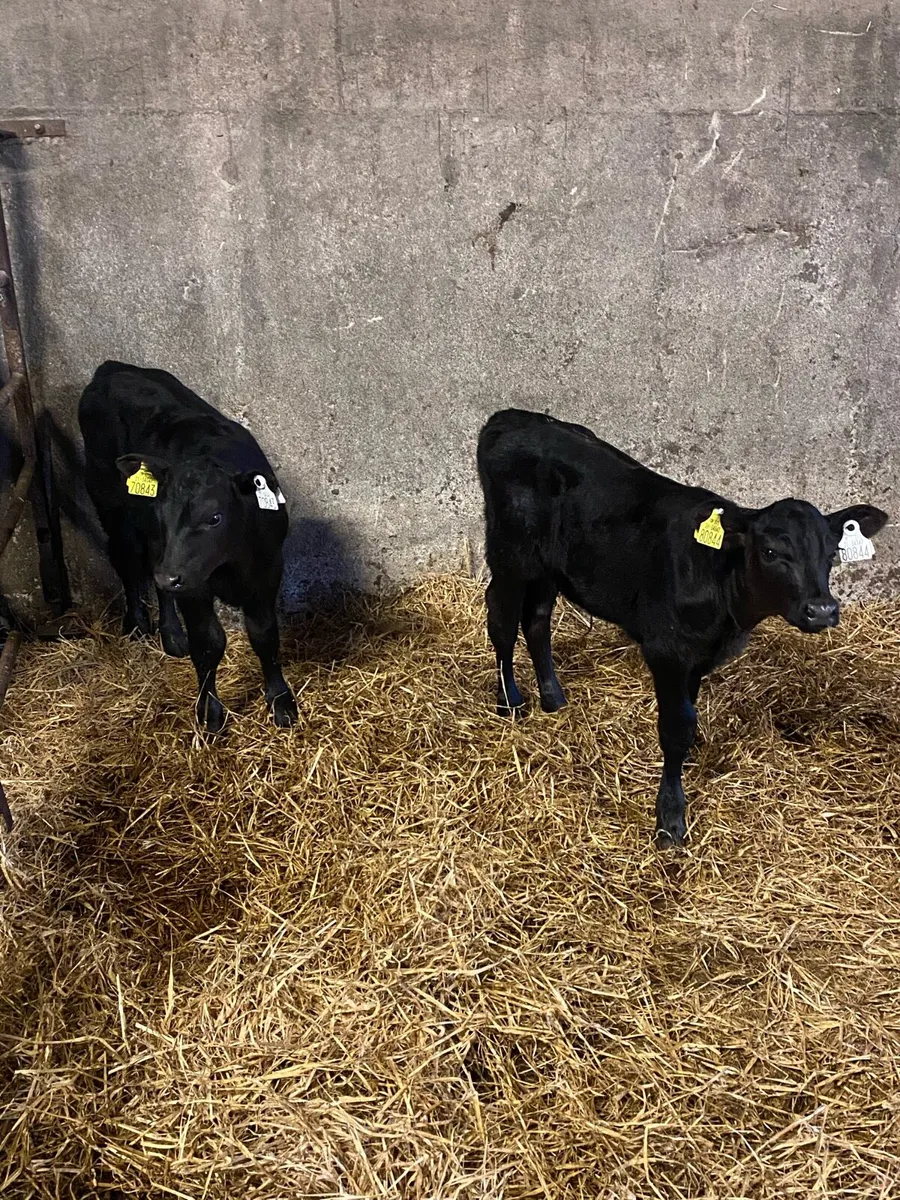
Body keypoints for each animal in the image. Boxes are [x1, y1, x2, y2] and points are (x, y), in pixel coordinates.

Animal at [79, 361, 297, 734]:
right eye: (162, 511)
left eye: (214, 517)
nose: (171, 577)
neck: (231, 564)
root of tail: (111, 368)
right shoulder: (195, 586)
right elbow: (209, 643)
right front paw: (209, 712)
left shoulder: (268, 570)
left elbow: (264, 634)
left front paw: (280, 700)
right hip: (110, 502)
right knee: (127, 560)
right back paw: (137, 624)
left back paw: (171, 635)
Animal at [477, 408, 888, 847]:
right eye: (771, 552)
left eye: (832, 553)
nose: (822, 610)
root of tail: (511, 417)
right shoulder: (667, 650)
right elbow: (675, 726)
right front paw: (670, 816)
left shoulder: (697, 655)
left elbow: (688, 716)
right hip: (510, 554)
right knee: (501, 617)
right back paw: (510, 702)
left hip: (548, 567)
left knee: (537, 619)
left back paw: (553, 698)